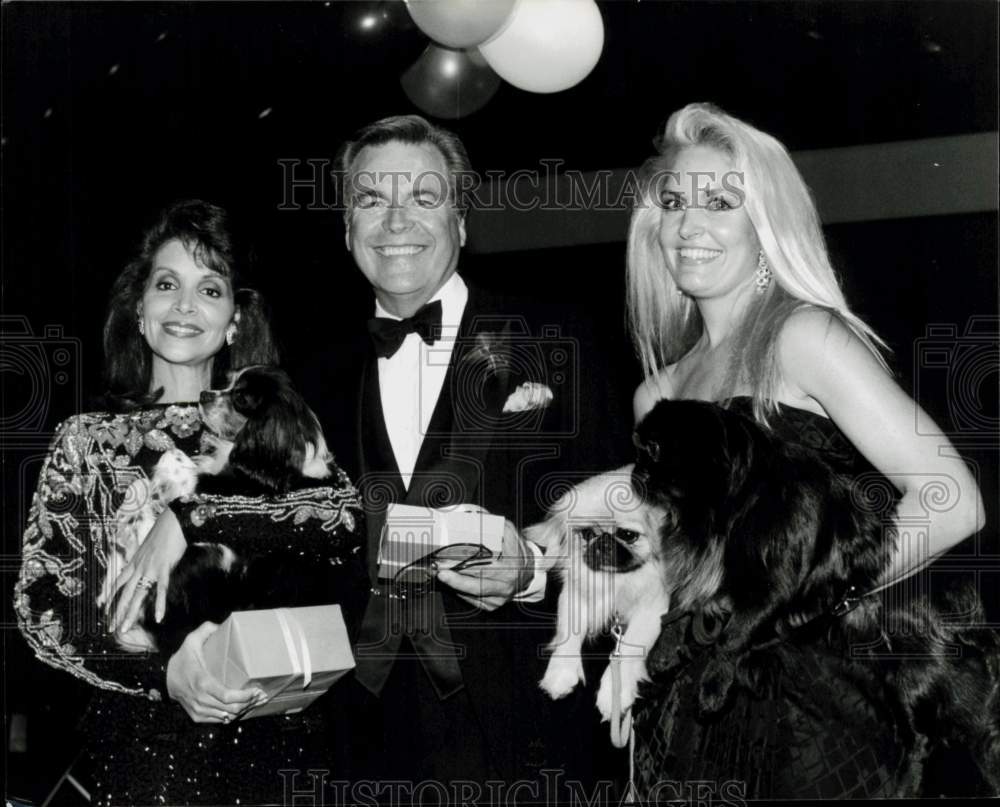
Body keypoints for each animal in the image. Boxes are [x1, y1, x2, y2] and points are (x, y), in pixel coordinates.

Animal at [104, 366, 334, 656]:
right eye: (229, 382)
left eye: (241, 397)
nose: (204, 394)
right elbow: (147, 480)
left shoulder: (215, 486)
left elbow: (175, 460)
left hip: (214, 558)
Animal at [524, 468, 672, 732]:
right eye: (587, 534)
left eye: (627, 535)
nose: (603, 542)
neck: (615, 579)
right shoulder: (576, 594)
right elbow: (568, 633)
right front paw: (561, 672)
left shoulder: (652, 609)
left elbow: (629, 649)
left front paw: (615, 693)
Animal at [632, 400, 1000, 792]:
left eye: (653, 449)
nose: (636, 470)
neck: (741, 496)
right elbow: (683, 613)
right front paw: (666, 652)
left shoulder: (773, 585)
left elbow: (733, 636)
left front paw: (713, 684)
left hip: (926, 681)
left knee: (934, 740)